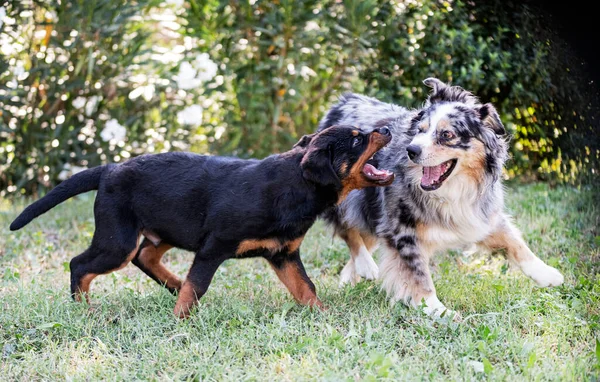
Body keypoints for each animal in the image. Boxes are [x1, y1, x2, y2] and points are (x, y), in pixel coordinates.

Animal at [10, 124, 394, 316]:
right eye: (357, 140)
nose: (388, 128)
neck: (296, 185)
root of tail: (109, 169)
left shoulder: (283, 253)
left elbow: (305, 287)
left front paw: (323, 315)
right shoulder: (214, 246)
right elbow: (198, 285)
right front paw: (180, 320)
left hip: (164, 228)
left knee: (145, 256)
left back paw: (172, 283)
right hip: (117, 239)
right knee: (81, 264)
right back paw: (83, 309)